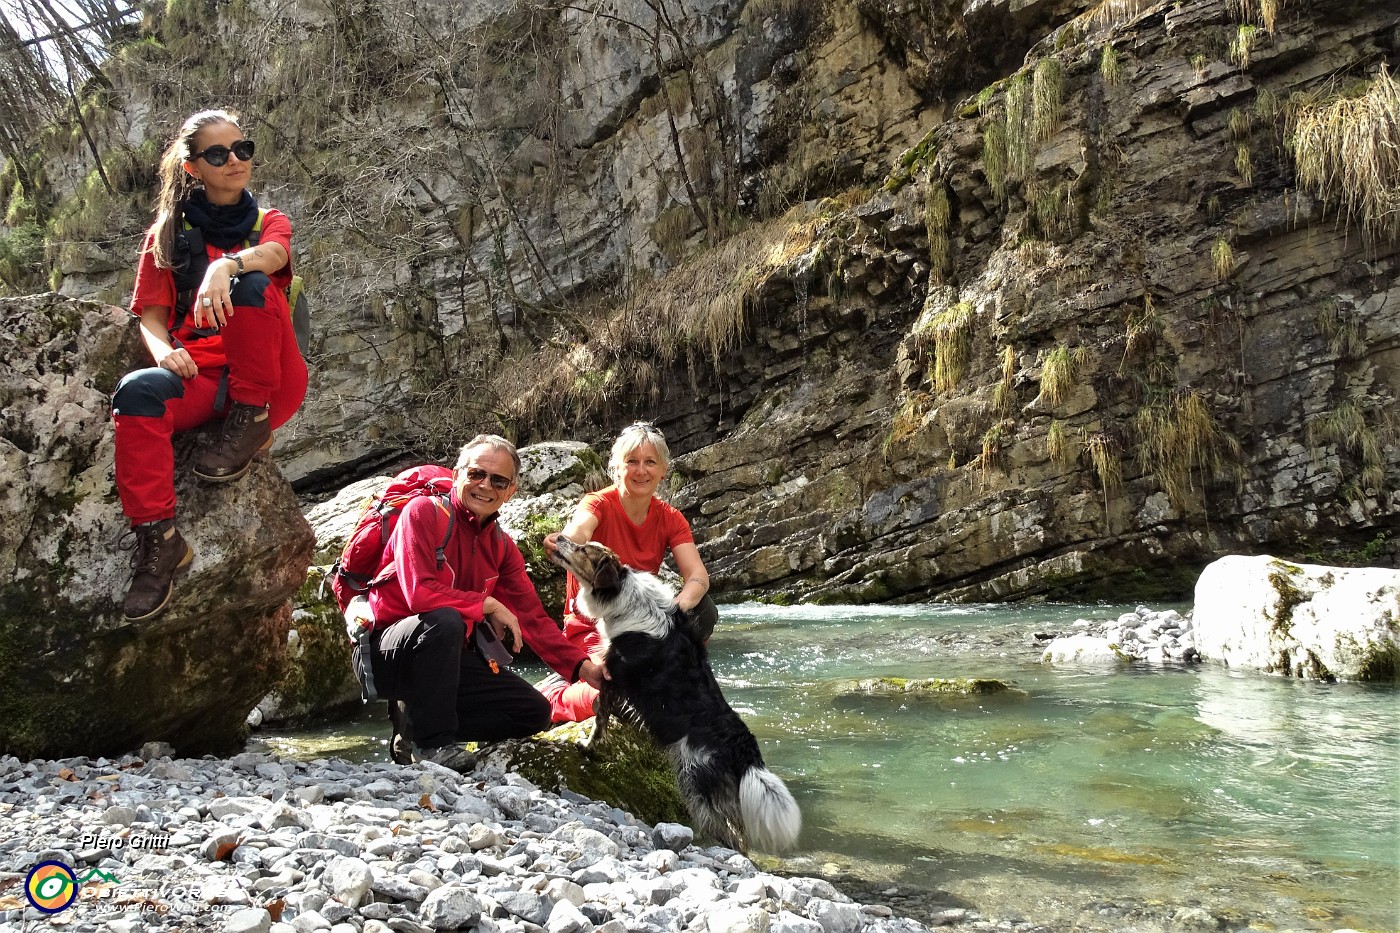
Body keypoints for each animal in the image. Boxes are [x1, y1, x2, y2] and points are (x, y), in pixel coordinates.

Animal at [551, 535, 806, 851]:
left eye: (584, 549)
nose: (560, 537)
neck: (625, 597)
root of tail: (745, 750)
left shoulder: (612, 677)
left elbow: (599, 721)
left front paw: (587, 747)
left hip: (694, 780)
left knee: (731, 835)